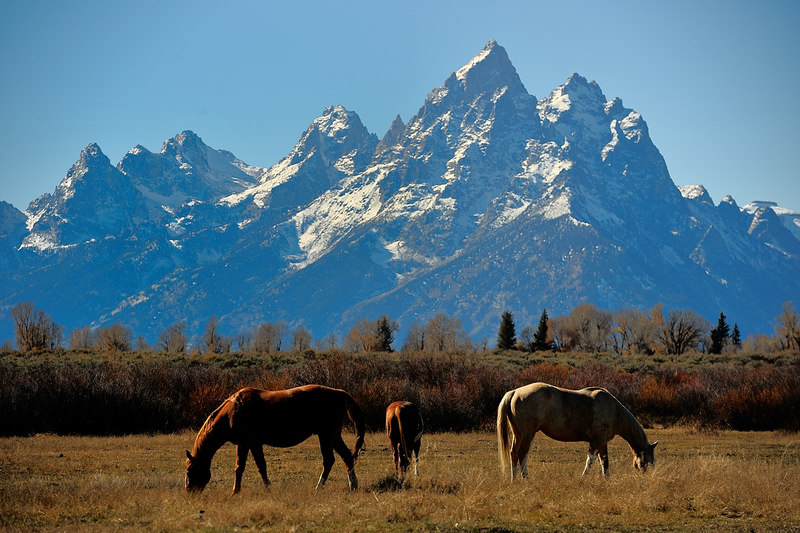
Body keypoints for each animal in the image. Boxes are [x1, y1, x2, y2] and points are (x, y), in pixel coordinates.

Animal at [184, 384, 366, 492]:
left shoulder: (249, 443)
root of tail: (339, 393)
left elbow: (249, 467)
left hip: (326, 435)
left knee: (329, 460)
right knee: (347, 457)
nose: (189, 491)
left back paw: (318, 487)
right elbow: (252, 466)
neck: (231, 411)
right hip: (333, 435)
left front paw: (241, 491)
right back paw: (353, 486)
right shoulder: (249, 444)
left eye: (190, 469)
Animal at [496, 380, 660, 480]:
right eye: (648, 461)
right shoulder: (597, 440)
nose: (645, 477)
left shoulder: (602, 442)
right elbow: (592, 460)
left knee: (514, 453)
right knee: (522, 453)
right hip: (527, 434)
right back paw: (525, 478)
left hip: (518, 434)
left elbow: (603, 461)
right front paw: (585, 477)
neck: (613, 410)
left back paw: (514, 479)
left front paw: (606, 479)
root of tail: (515, 392)